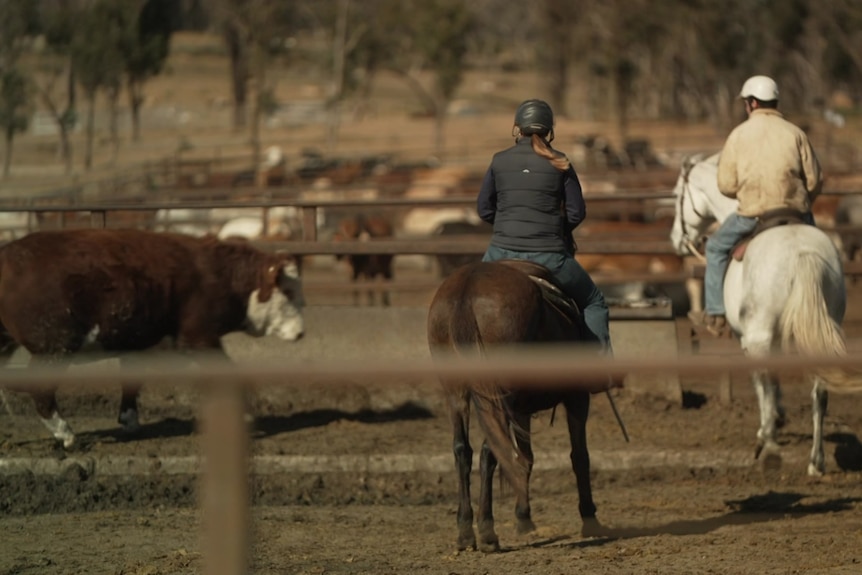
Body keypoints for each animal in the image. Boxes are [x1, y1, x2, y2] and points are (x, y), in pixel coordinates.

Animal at [0, 227, 306, 448]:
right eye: (289, 291)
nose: (301, 331)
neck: (220, 275)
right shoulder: (199, 339)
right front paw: (244, 414)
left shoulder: (139, 346)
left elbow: (132, 381)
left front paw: (129, 421)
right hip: (55, 349)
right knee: (41, 390)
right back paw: (66, 434)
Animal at [426, 260, 616, 552]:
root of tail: (467, 289)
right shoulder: (577, 397)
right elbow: (579, 456)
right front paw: (590, 520)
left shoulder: (521, 409)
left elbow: (526, 457)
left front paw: (523, 518)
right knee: (490, 450)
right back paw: (487, 532)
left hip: (456, 392)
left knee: (462, 450)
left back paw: (466, 531)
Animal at [672, 153, 860, 476]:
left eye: (677, 196)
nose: (677, 240)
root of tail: (802, 253)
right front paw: (779, 417)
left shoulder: (748, 338)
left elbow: (761, 381)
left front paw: (768, 427)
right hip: (824, 330)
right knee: (819, 394)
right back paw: (816, 462)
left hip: (759, 335)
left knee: (771, 380)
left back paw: (770, 447)